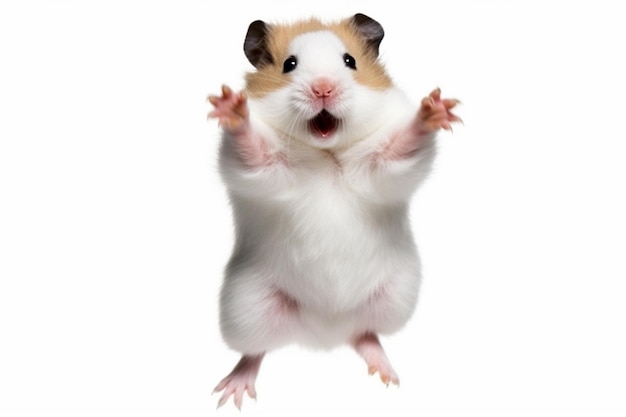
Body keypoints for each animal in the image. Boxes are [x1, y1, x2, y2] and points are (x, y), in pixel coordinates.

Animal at [207, 13, 456, 410]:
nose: (323, 89)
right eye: (289, 64)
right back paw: (232, 392)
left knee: (365, 334)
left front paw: (436, 108)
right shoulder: (261, 169)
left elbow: (404, 144)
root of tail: (324, 334)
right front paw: (230, 108)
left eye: (349, 61)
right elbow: (251, 147)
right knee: (254, 351)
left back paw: (388, 375)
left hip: (395, 296)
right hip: (247, 307)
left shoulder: (386, 164)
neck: (327, 151)